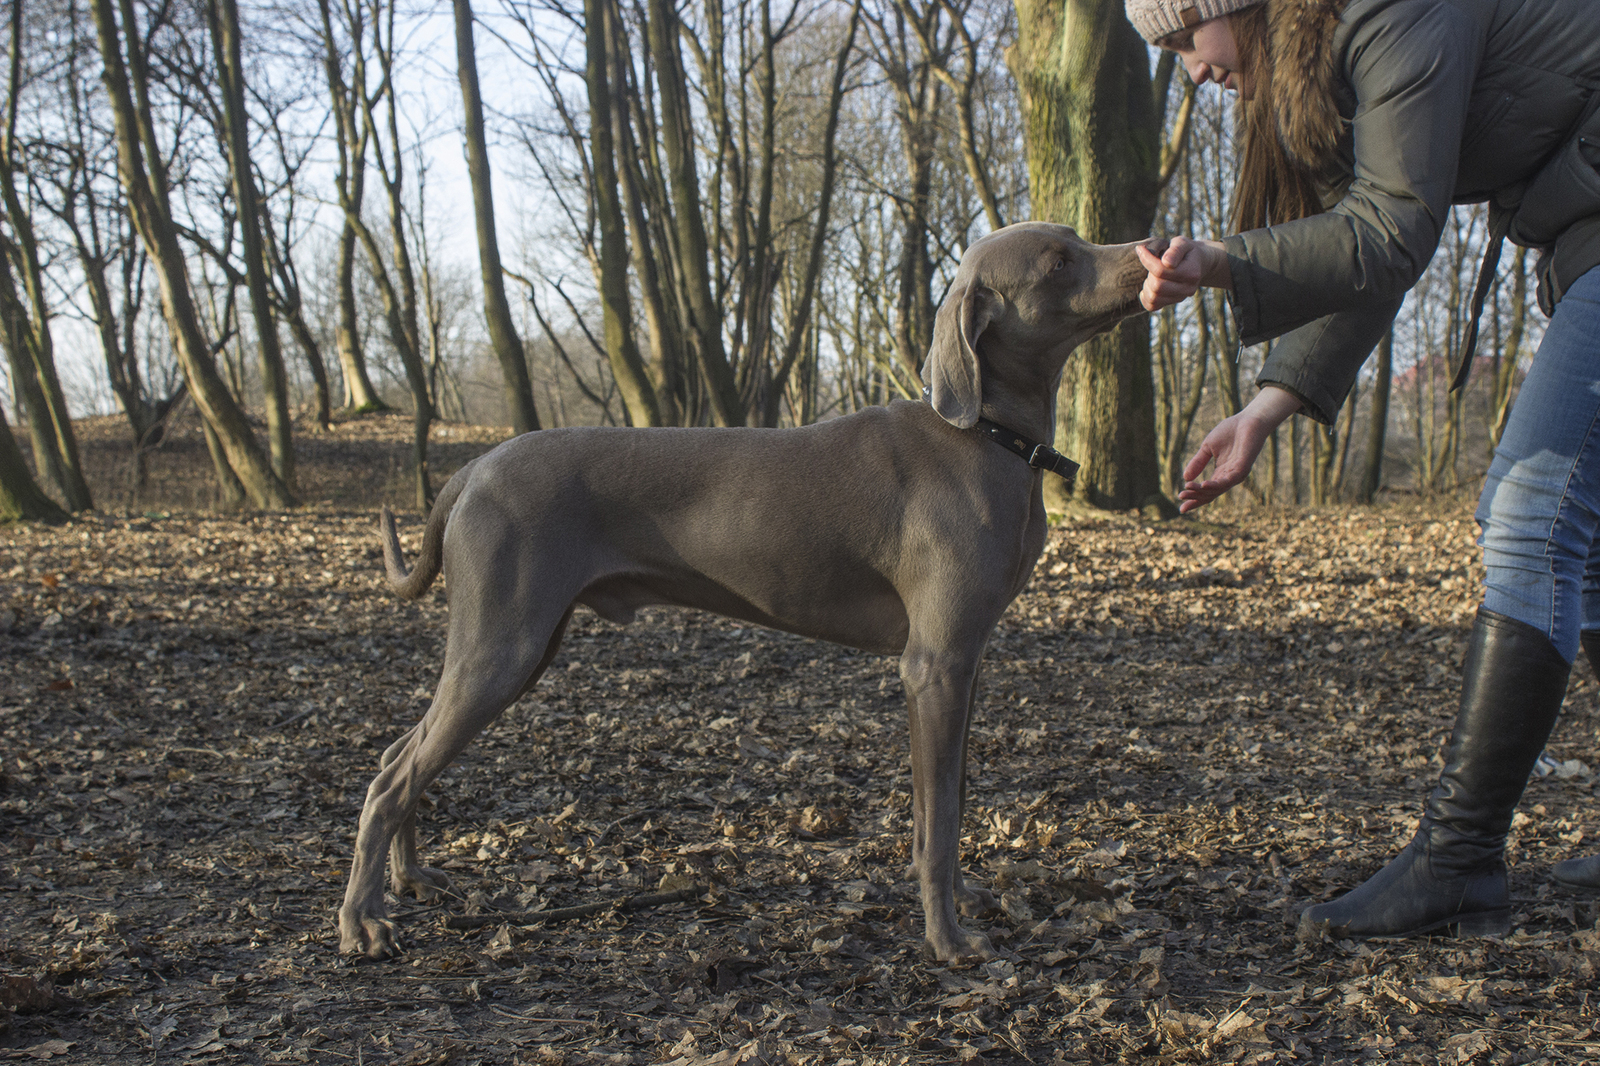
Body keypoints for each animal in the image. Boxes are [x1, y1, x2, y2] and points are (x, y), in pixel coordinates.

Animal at [340, 219, 1152, 960]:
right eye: (1057, 259)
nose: (1150, 251)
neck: (985, 436)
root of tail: (473, 469)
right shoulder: (935, 665)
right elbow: (941, 821)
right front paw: (947, 941)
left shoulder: (966, 663)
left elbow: (945, 805)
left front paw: (964, 901)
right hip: (502, 647)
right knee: (390, 778)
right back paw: (361, 922)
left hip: (518, 646)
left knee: (395, 756)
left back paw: (410, 879)